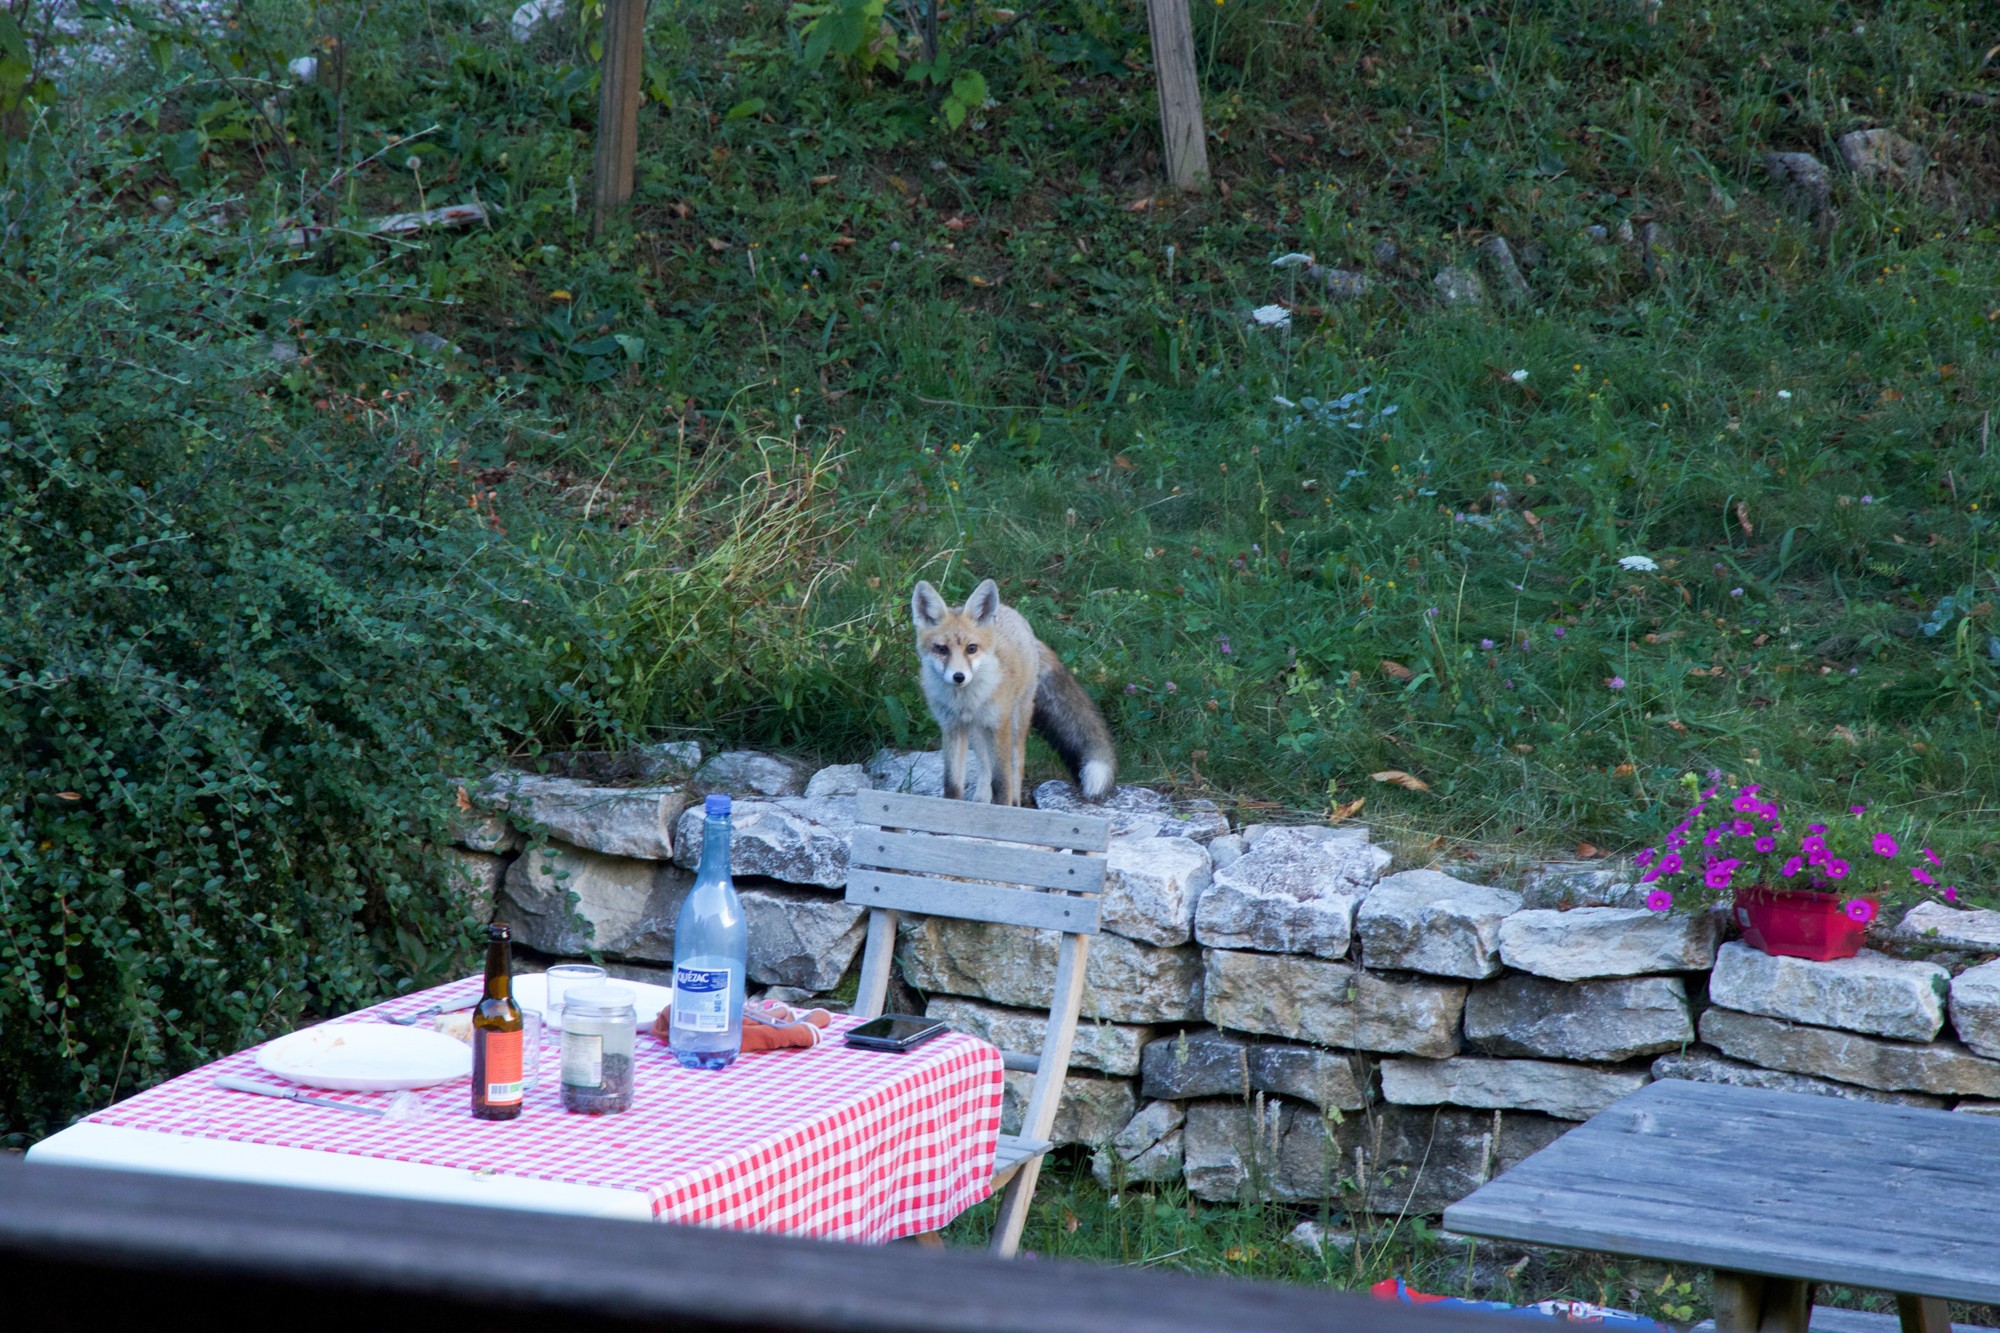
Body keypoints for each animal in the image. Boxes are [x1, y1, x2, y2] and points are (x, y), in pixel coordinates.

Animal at [916, 576, 1120, 804]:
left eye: (971, 648)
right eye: (941, 649)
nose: (959, 677)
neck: (966, 702)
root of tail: (1016, 616)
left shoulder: (1000, 725)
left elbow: (1002, 783)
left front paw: (1005, 808)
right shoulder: (952, 726)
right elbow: (952, 786)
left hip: (1015, 723)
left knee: (1017, 766)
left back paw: (1014, 801)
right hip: (979, 732)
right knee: (985, 766)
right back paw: (980, 799)